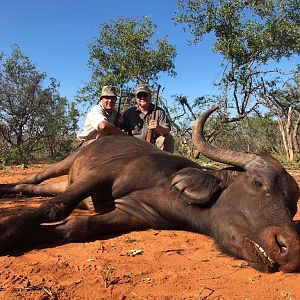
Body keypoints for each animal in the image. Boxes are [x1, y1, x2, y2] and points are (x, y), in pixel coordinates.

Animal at [0, 106, 298, 274]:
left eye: (292, 206)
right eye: (257, 182)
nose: (289, 249)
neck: (166, 187)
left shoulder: (132, 215)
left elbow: (75, 228)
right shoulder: (102, 174)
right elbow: (55, 208)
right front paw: (6, 230)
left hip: (65, 183)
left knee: (32, 187)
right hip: (66, 163)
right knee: (35, 179)